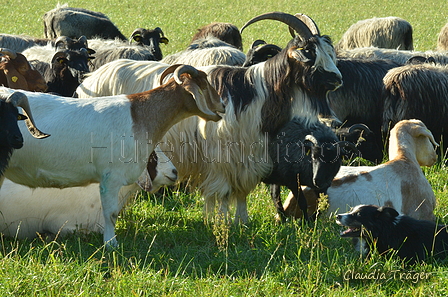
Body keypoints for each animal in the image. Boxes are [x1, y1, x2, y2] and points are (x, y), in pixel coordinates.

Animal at [76, 12, 344, 223]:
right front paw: (222, 224)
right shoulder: (220, 157)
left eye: (330, 52)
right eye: (310, 53)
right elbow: (222, 195)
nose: (338, 78)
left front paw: (242, 223)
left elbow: (241, 194)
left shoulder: (246, 159)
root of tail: (90, 79)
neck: (255, 93)